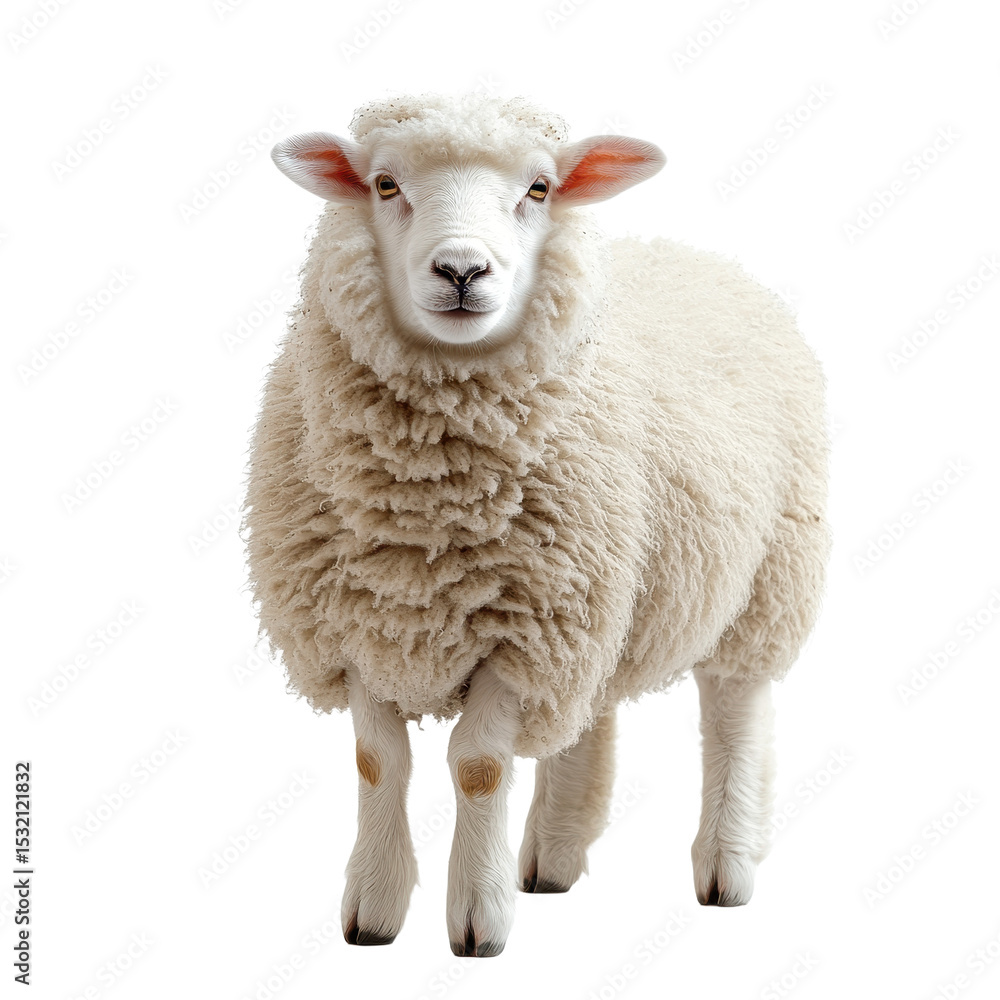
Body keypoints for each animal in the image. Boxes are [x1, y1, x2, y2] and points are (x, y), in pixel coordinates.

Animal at [244, 92, 830, 957]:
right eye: (385, 184)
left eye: (540, 189)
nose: (461, 270)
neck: (429, 498)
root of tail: (700, 257)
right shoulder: (359, 626)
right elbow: (377, 760)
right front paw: (374, 911)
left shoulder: (523, 632)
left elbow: (478, 765)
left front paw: (477, 919)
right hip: (604, 595)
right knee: (586, 718)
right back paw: (553, 857)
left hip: (766, 576)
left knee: (735, 710)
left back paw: (725, 864)